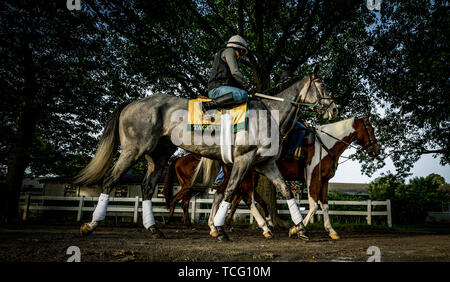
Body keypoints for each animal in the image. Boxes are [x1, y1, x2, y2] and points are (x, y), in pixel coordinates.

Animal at [74, 70, 338, 240]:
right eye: (322, 84)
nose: (334, 108)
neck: (268, 112)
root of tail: (132, 103)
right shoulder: (244, 161)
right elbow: (230, 192)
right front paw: (219, 229)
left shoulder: (266, 164)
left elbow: (285, 190)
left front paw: (299, 228)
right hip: (133, 151)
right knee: (111, 180)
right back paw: (91, 224)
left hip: (158, 157)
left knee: (148, 187)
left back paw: (154, 228)